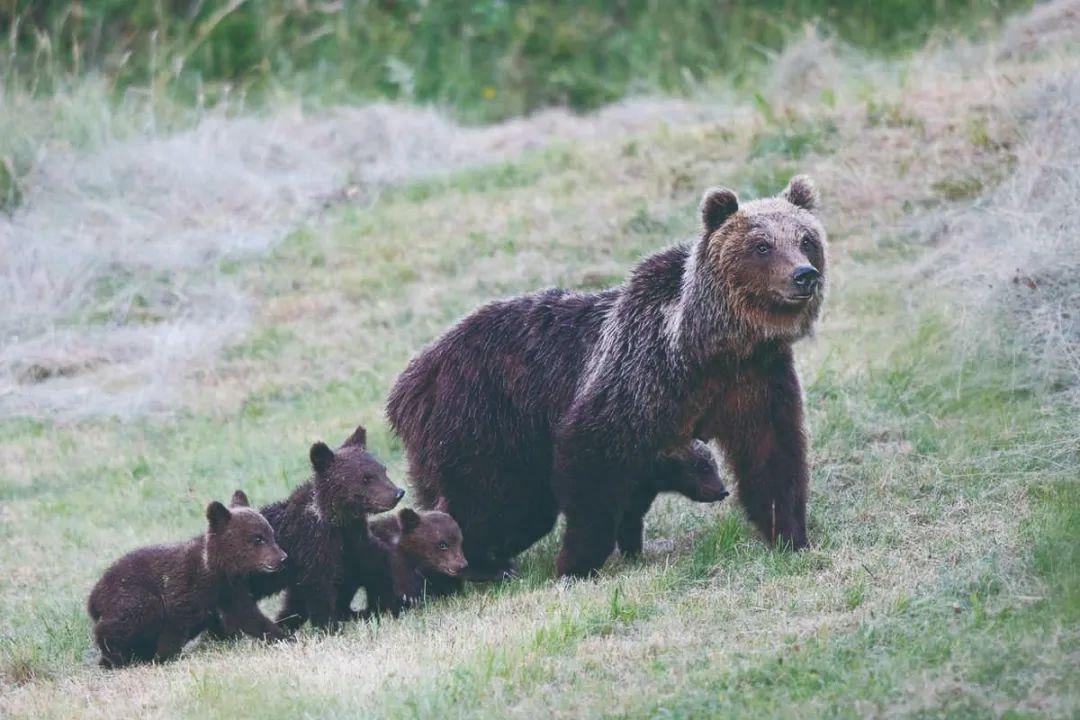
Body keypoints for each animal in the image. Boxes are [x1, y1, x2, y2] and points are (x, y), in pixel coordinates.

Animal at [388, 175, 825, 578]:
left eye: (805, 239)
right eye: (762, 245)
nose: (804, 275)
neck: (708, 347)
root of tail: (409, 381)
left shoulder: (755, 380)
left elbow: (773, 452)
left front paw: (790, 534)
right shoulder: (638, 376)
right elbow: (592, 463)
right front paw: (576, 562)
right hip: (482, 421)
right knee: (494, 502)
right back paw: (484, 564)